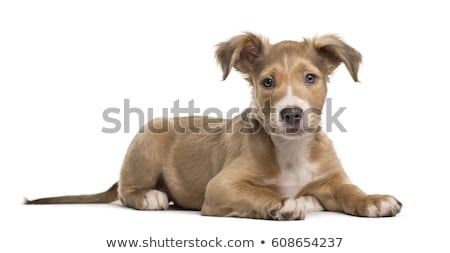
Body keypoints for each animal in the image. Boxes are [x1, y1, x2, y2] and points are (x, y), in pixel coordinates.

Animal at [26, 33, 402, 219]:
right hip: (145, 145)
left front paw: (374, 199)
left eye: (311, 78)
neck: (290, 149)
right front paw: (280, 204)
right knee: (125, 192)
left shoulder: (331, 179)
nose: (292, 114)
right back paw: (150, 197)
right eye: (267, 82)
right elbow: (258, 193)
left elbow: (350, 191)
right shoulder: (221, 187)